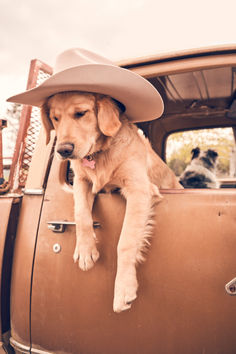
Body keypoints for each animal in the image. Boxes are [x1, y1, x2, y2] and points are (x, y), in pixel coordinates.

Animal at [41, 91, 183, 312]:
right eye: (55, 118)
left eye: (81, 113)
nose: (63, 150)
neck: (100, 154)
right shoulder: (81, 181)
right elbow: (81, 213)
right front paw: (85, 250)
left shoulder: (139, 189)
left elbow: (126, 241)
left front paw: (124, 288)